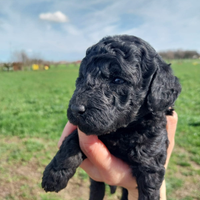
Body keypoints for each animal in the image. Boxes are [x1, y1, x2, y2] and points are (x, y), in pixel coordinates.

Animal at [41, 35, 181, 199]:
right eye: (81, 77)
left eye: (118, 80)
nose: (75, 109)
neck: (121, 131)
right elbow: (71, 140)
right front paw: (54, 174)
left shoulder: (151, 161)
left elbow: (149, 189)